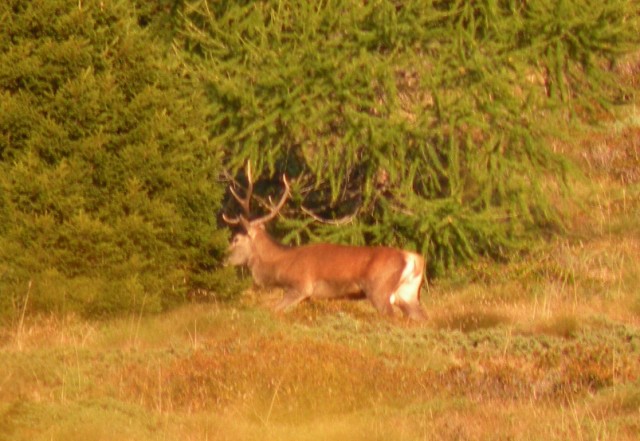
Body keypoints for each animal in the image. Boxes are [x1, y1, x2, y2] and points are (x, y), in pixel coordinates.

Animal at [223, 163, 427, 321]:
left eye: (236, 239)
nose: (223, 260)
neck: (280, 264)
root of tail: (413, 258)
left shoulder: (300, 287)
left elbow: (273, 310)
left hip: (379, 289)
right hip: (407, 292)